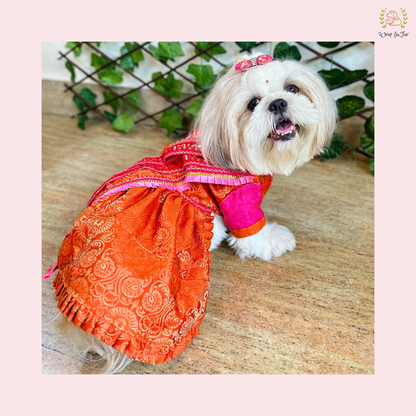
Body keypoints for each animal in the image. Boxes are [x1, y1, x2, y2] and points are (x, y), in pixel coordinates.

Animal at [45, 52, 338, 374]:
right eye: (252, 103)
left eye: (292, 88)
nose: (278, 103)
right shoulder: (238, 198)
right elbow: (253, 234)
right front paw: (274, 239)